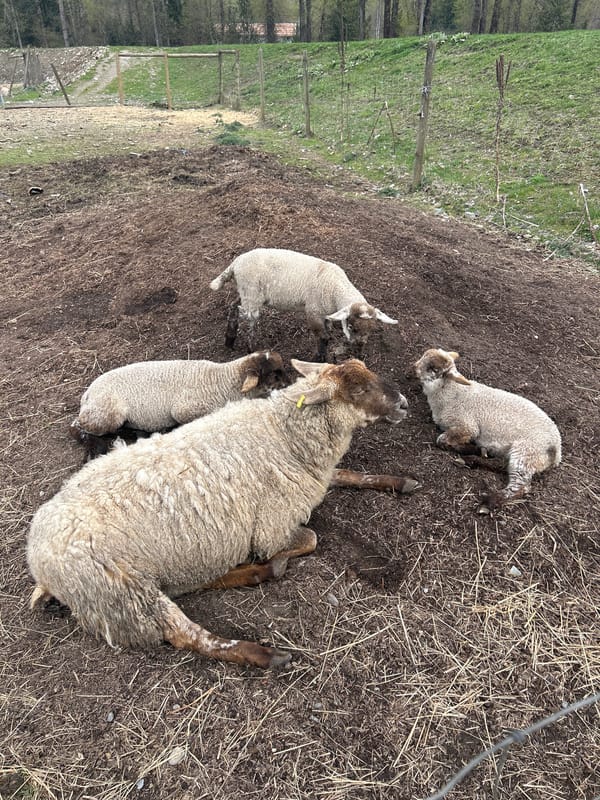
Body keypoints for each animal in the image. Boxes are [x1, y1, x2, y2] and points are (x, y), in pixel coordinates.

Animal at [70, 351, 288, 458]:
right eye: (274, 374)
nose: (290, 382)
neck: (221, 381)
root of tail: (87, 395)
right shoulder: (183, 411)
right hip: (105, 414)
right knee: (79, 429)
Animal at [210, 248, 398, 361]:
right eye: (351, 326)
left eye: (372, 329)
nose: (359, 349)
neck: (335, 287)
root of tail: (235, 263)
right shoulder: (313, 311)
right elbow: (323, 337)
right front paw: (318, 359)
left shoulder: (325, 313)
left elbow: (328, 333)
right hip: (251, 291)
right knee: (248, 317)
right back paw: (250, 349)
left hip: (246, 291)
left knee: (234, 306)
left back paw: (229, 339)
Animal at [411, 348, 561, 509]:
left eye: (433, 368)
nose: (413, 368)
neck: (452, 393)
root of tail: (557, 450)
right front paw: (477, 450)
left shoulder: (467, 426)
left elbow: (442, 440)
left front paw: (470, 448)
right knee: (504, 466)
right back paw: (473, 460)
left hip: (527, 451)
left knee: (521, 486)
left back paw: (489, 501)